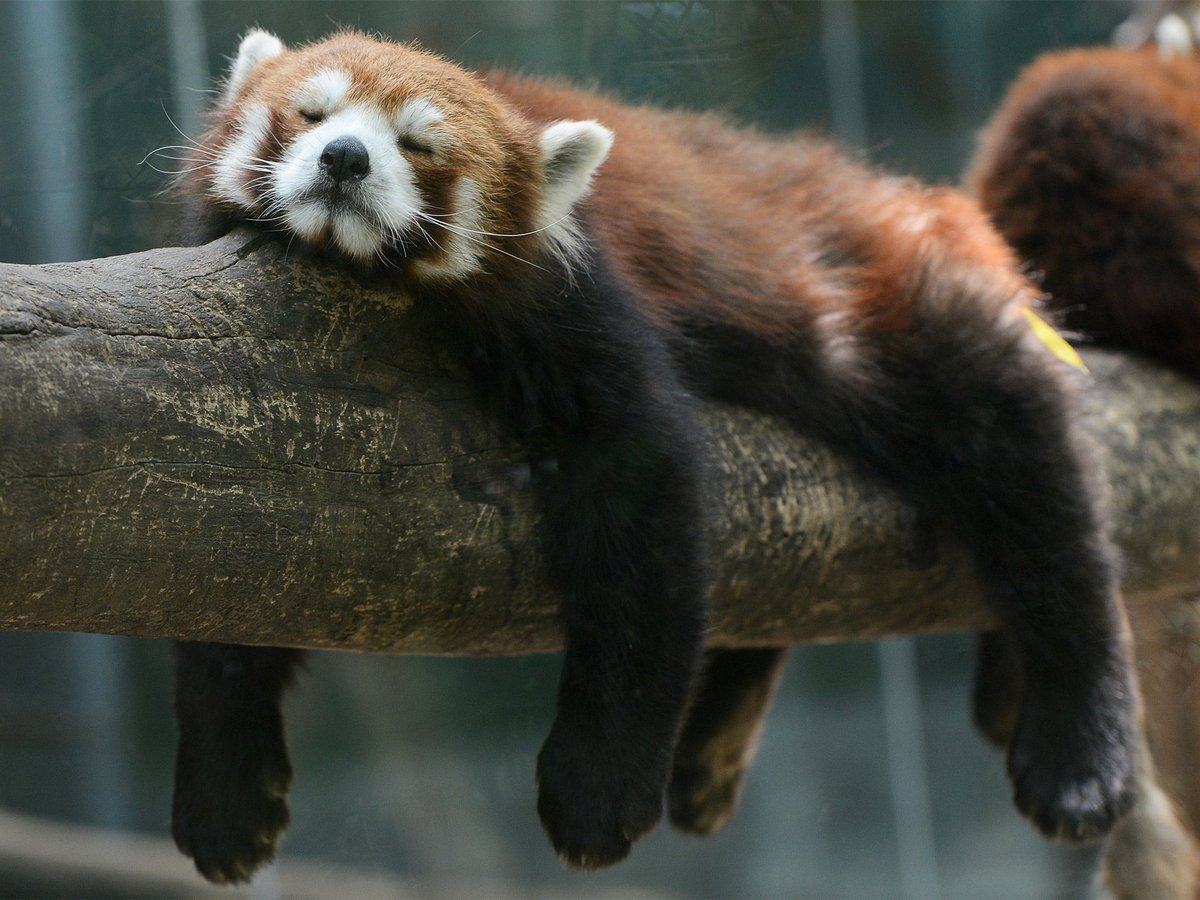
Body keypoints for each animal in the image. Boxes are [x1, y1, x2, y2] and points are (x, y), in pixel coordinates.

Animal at [169, 29, 1137, 884]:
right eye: (309, 113)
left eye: (417, 144)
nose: (343, 159)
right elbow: (222, 589)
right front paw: (226, 788)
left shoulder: (585, 304)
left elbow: (644, 534)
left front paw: (598, 789)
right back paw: (712, 749)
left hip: (892, 303)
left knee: (1032, 482)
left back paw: (1082, 746)